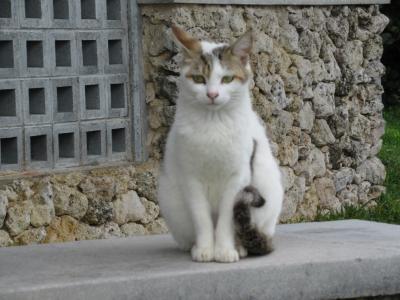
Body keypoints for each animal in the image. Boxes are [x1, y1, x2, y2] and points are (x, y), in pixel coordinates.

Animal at [158, 24, 282, 262]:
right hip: (171, 200)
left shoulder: (238, 178)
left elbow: (226, 219)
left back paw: (240, 247)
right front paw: (206, 249)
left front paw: (224, 250)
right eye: (199, 79)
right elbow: (202, 218)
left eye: (227, 79)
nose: (212, 94)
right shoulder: (191, 178)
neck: (213, 124)